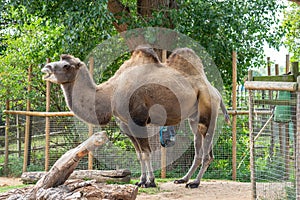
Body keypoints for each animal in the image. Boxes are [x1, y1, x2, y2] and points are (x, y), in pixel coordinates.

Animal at [41, 46, 230, 188]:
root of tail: (215, 91)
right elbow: (140, 154)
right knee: (198, 147)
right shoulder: (125, 124)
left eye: (66, 65)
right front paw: (141, 181)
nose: (45, 68)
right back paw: (183, 179)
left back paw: (195, 183)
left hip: (209, 111)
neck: (111, 93)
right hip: (193, 118)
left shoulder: (138, 120)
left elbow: (146, 153)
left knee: (207, 151)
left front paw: (150, 182)